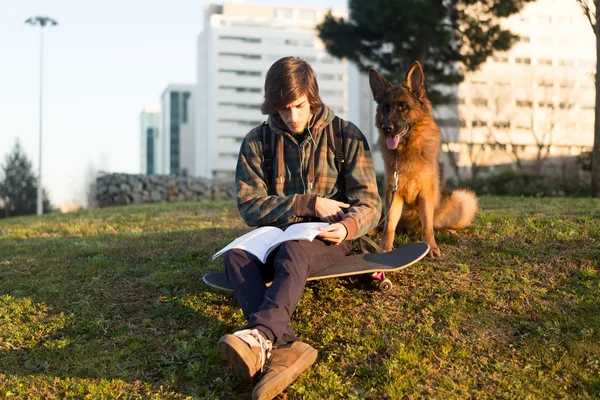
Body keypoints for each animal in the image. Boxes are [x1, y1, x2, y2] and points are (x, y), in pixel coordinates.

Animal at [370, 61, 478, 258]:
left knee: (436, 224)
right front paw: (384, 248)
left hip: (464, 200)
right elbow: (389, 226)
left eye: (402, 107)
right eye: (385, 108)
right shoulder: (392, 194)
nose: (386, 128)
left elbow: (427, 225)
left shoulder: (425, 194)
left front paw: (431, 247)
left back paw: (447, 230)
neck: (407, 149)